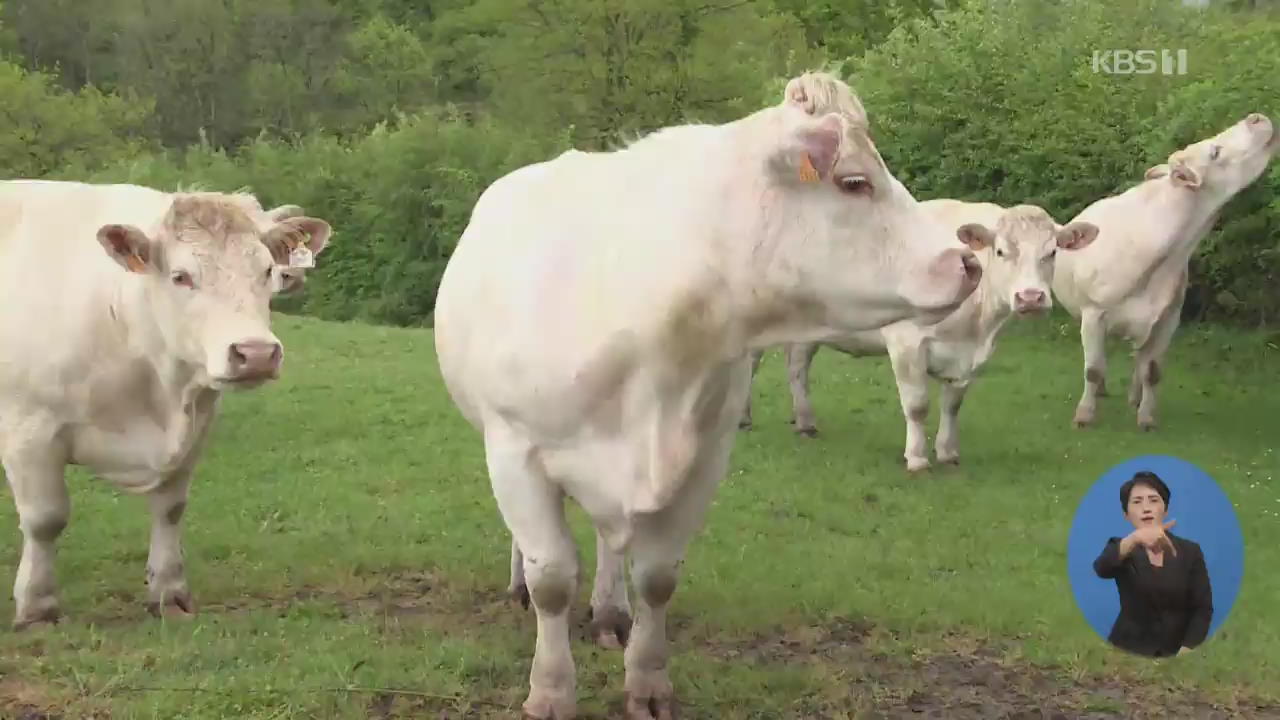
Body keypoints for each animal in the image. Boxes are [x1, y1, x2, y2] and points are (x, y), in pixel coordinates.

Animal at [0, 180, 335, 627]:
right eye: (181, 277)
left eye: (267, 271)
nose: (257, 353)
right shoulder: (29, 430)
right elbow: (45, 519)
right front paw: (38, 607)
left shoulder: (197, 424)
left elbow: (170, 508)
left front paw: (170, 593)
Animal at [435, 74, 983, 717]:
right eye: (854, 181)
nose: (968, 262)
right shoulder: (515, 448)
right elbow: (551, 578)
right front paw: (550, 690)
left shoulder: (703, 458)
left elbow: (657, 577)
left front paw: (647, 682)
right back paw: (520, 583)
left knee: (608, 539)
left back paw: (610, 611)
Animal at [742, 199, 1100, 471]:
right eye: (1000, 251)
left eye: (1052, 253)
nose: (1030, 297)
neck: (977, 324)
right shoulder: (906, 342)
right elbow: (917, 405)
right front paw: (916, 459)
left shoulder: (969, 355)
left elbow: (953, 405)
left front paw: (948, 453)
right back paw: (743, 418)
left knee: (797, 365)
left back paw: (805, 422)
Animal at [1049, 111, 1280, 425]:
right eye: (1215, 152)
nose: (1256, 117)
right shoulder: (1094, 313)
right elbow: (1093, 369)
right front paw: (1085, 415)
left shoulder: (1168, 319)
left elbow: (1152, 371)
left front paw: (1146, 417)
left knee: (1137, 358)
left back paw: (1134, 396)